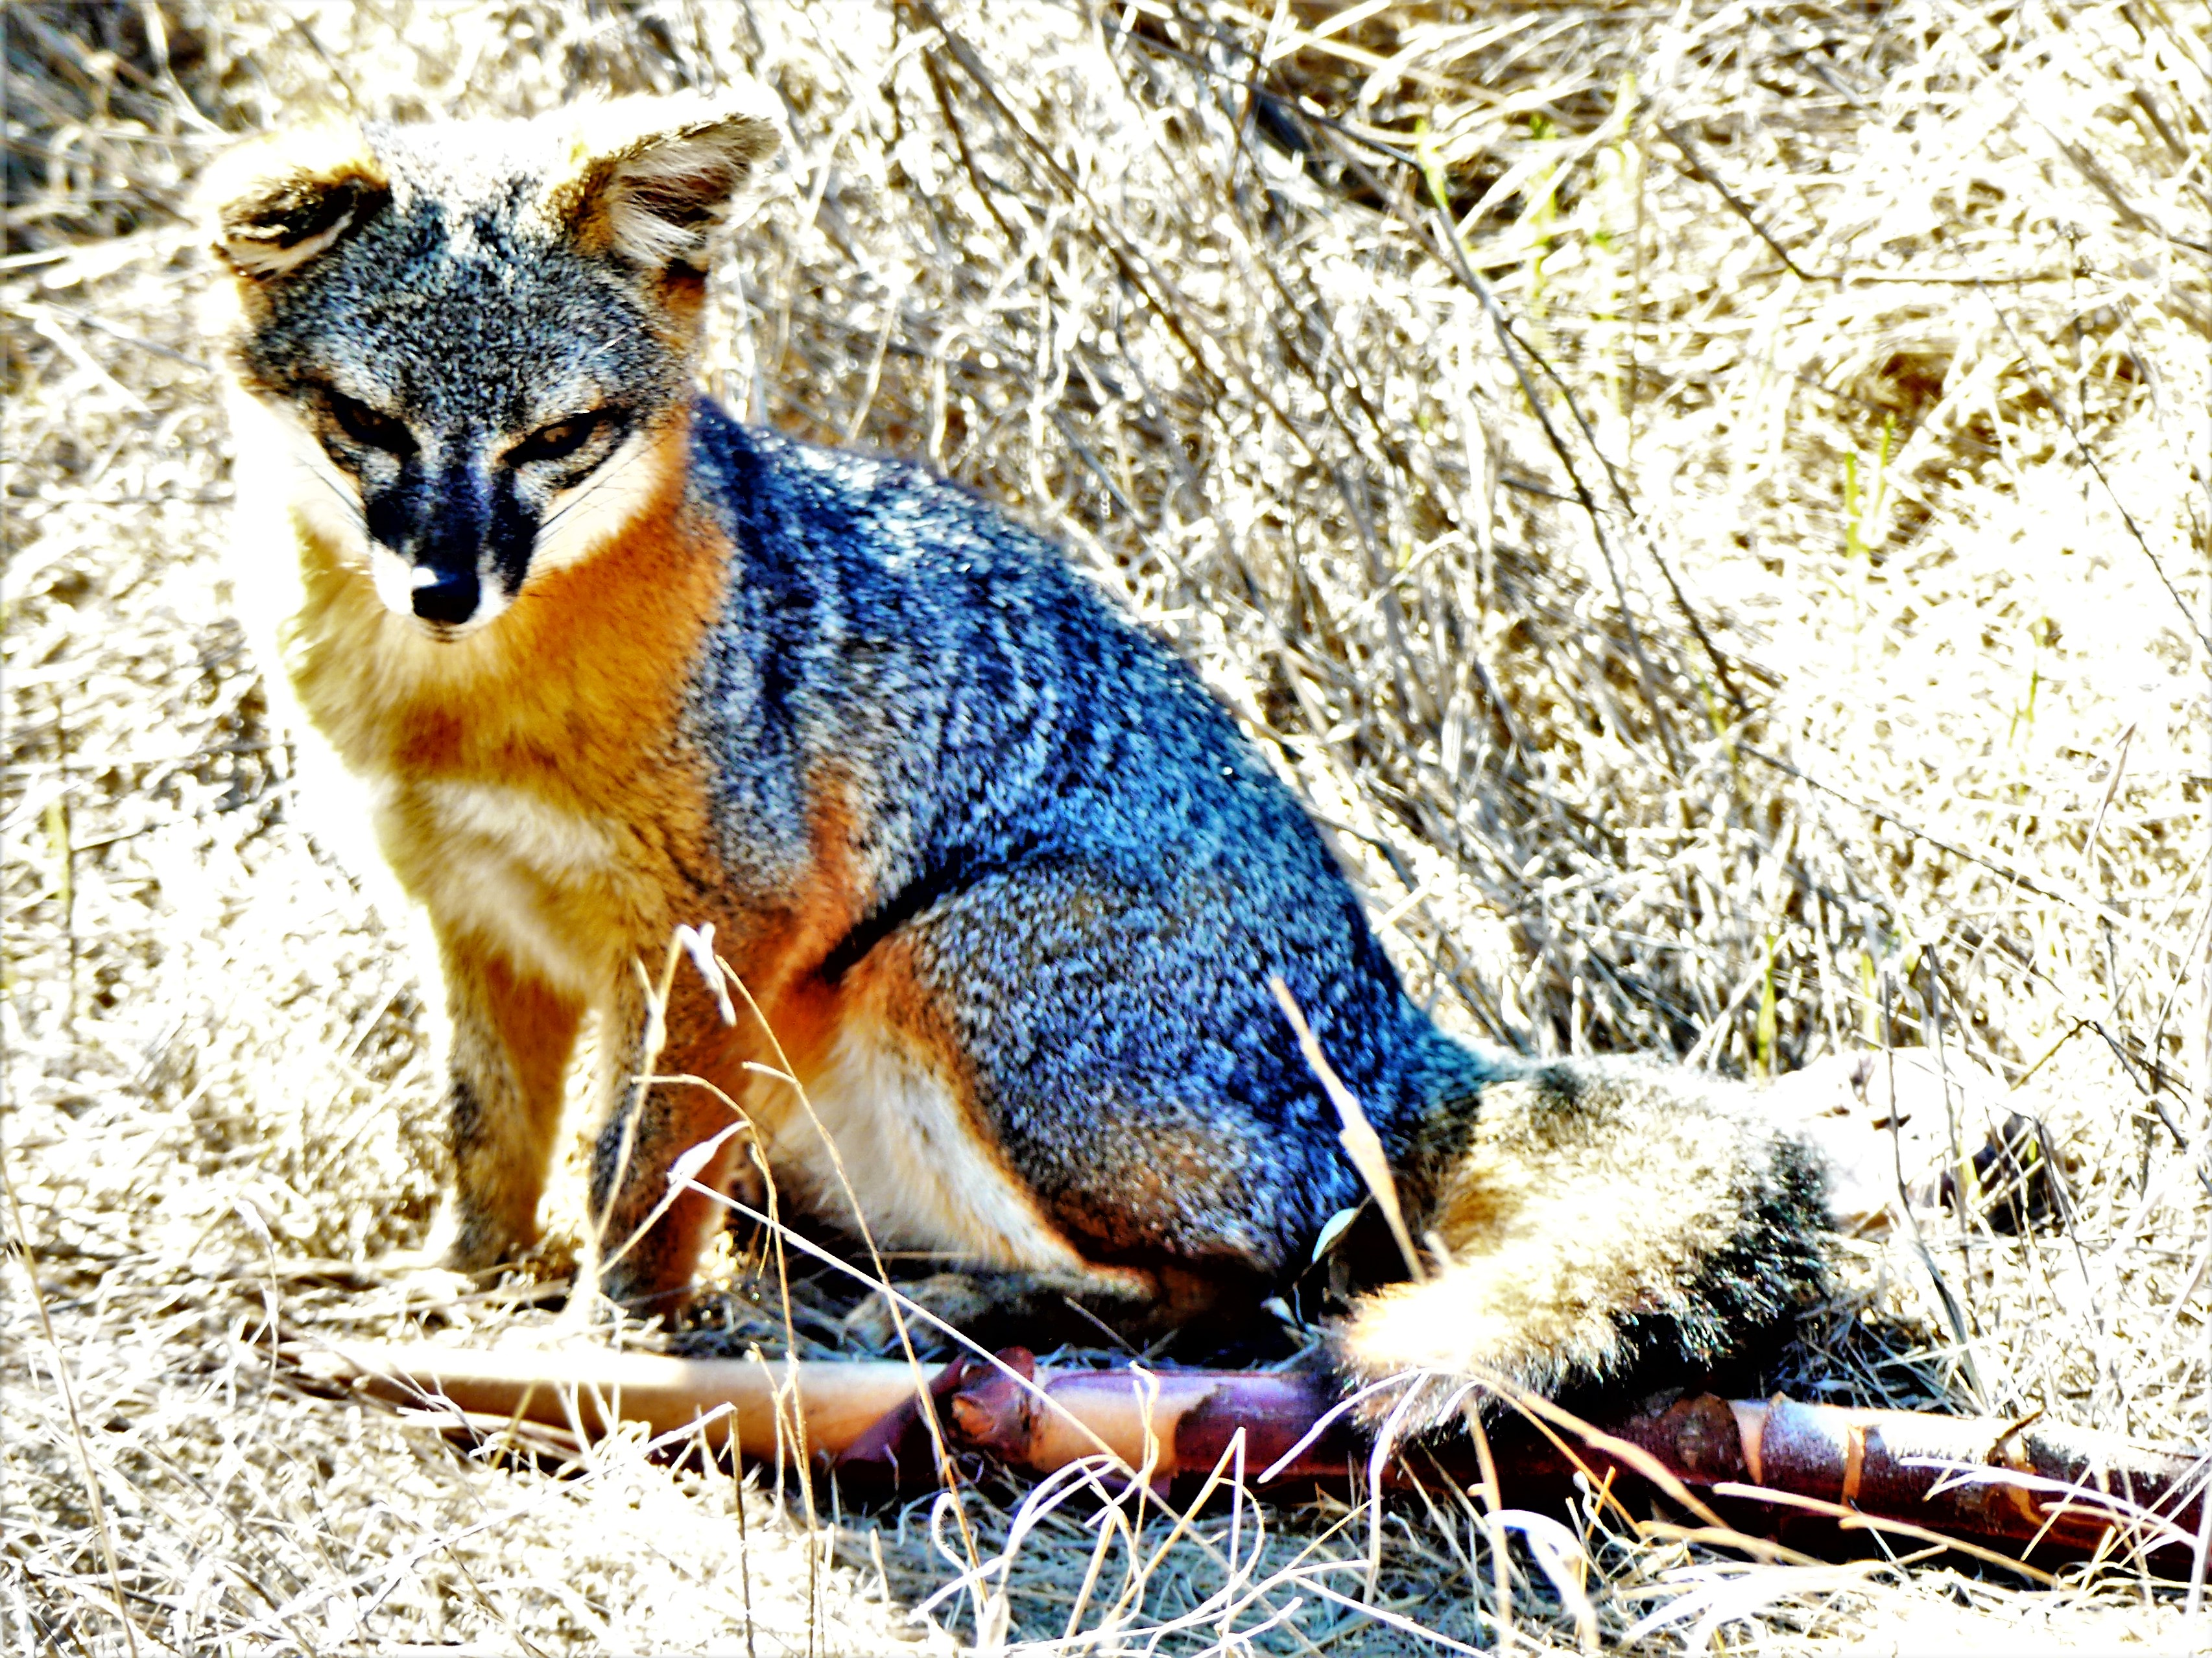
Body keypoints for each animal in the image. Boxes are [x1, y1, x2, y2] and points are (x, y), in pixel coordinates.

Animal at [198, 94, 1831, 1423]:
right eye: (364, 423)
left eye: (560, 437)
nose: (444, 587)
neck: (454, 708)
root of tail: (1395, 1036)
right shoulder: (475, 920)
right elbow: (487, 1142)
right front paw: (460, 1285)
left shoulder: (719, 929)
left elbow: (633, 1168)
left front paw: (613, 1336)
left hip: (949, 967)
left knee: (1247, 1286)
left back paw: (968, 1319)